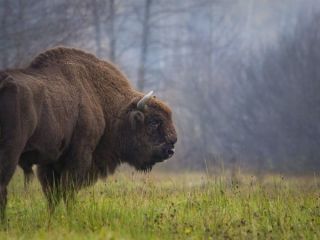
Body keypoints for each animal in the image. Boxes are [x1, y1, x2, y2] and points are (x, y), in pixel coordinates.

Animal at [0, 47, 176, 219]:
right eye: (154, 122)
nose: (171, 147)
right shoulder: (78, 156)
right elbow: (67, 191)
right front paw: (71, 216)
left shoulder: (49, 162)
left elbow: (52, 195)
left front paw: (51, 219)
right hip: (11, 152)